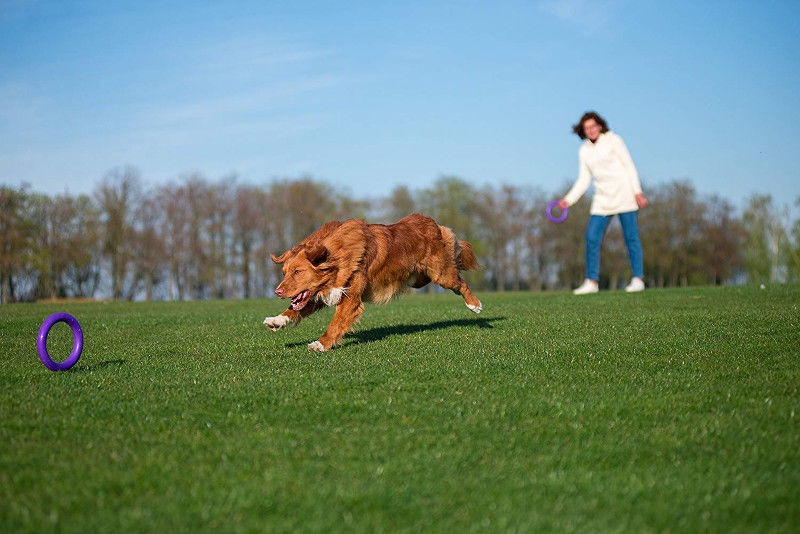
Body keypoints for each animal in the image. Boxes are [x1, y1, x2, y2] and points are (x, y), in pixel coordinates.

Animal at [264, 214, 482, 352]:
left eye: (298, 272)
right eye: (284, 273)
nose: (277, 292)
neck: (336, 257)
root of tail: (433, 223)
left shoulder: (350, 299)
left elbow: (335, 324)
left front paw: (321, 344)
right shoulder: (326, 292)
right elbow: (295, 310)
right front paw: (277, 320)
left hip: (441, 274)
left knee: (461, 282)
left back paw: (475, 305)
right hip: (418, 279)